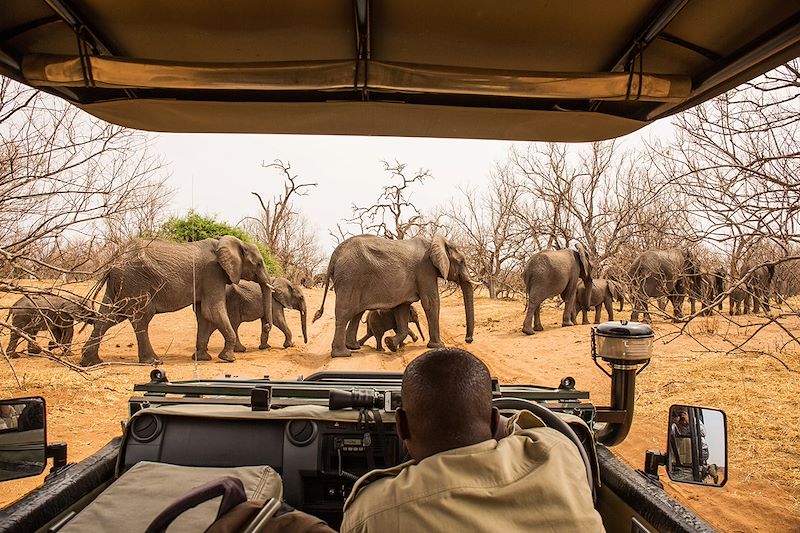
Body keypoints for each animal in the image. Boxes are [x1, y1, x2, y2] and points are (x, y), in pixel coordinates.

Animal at [81, 237, 274, 366]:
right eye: (258, 264)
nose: (266, 326)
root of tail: (112, 263)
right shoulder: (212, 273)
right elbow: (212, 310)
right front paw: (228, 359)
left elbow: (203, 314)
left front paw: (202, 358)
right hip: (135, 281)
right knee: (141, 317)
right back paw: (153, 361)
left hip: (121, 284)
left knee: (109, 316)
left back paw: (90, 362)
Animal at [312, 234, 476, 356]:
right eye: (461, 261)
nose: (468, 340)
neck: (434, 242)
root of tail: (335, 254)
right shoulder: (425, 270)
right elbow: (431, 302)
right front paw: (438, 346)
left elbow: (402, 308)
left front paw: (390, 344)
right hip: (349, 278)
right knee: (345, 313)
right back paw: (342, 354)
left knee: (357, 313)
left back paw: (354, 347)